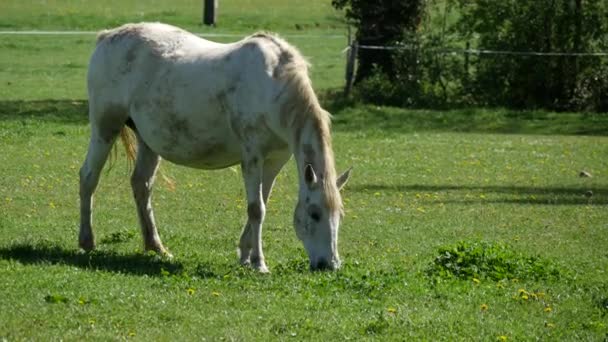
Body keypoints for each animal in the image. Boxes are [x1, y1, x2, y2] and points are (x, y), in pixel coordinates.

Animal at [78, 22, 352, 272]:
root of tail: (107, 36)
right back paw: (87, 241)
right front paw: (259, 263)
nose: (329, 265)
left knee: (141, 185)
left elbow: (262, 203)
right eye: (314, 213)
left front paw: (245, 256)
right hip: (105, 128)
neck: (272, 85)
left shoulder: (274, 161)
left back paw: (156, 247)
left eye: (339, 216)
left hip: (148, 142)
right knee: (89, 177)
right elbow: (256, 209)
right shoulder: (252, 157)